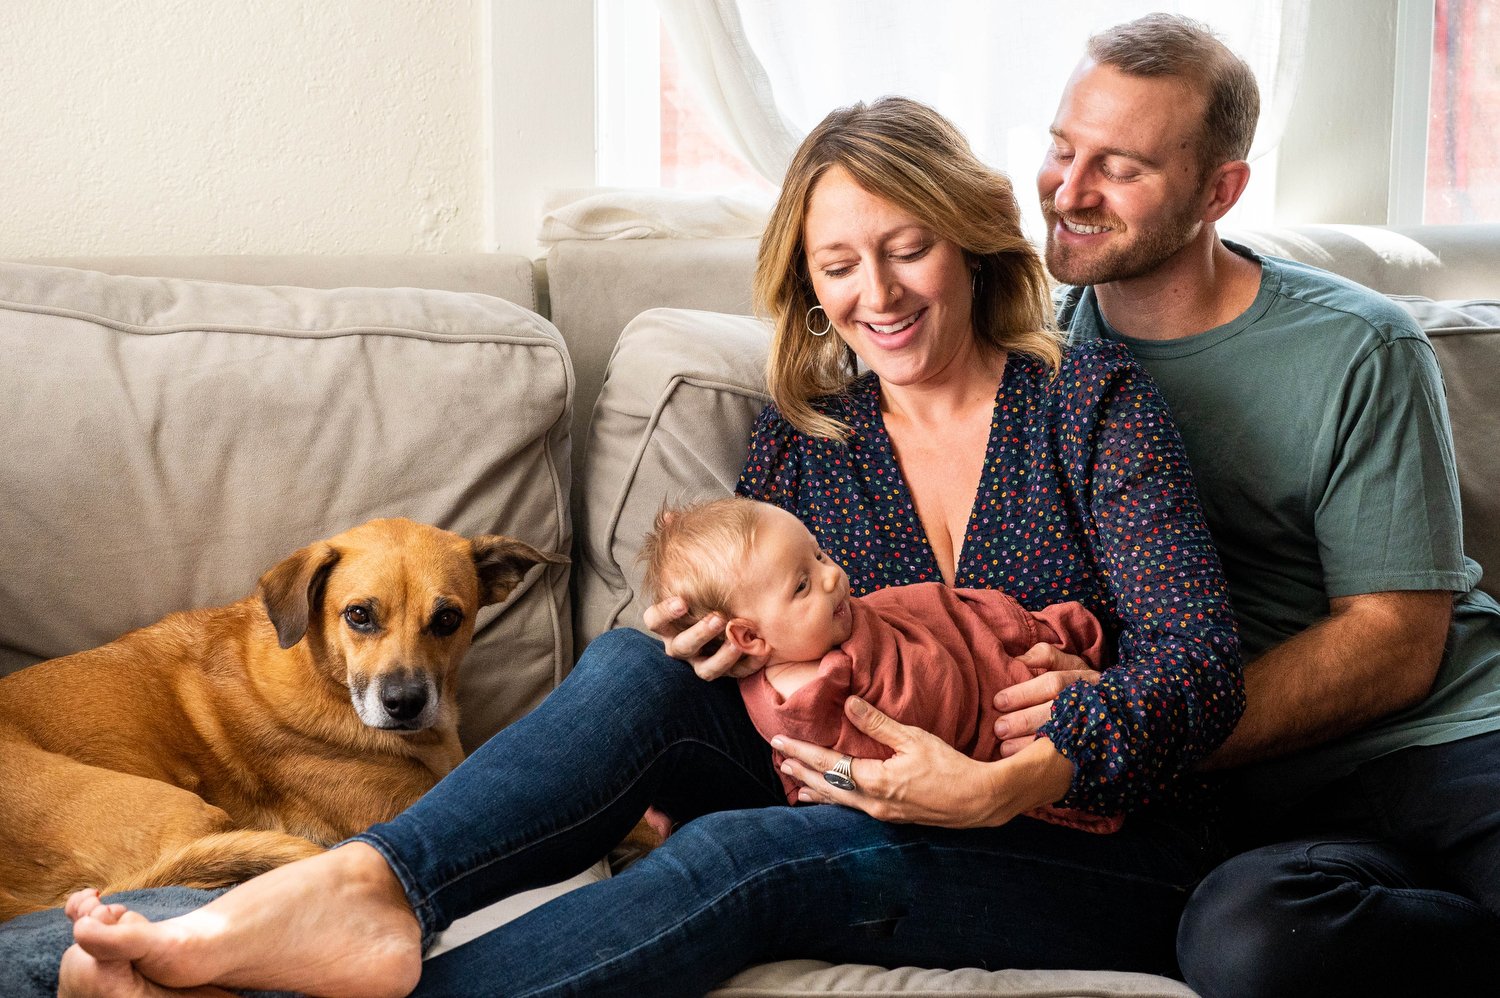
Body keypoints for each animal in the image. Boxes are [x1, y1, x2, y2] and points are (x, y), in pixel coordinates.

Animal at [0, 516, 564, 924]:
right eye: (358, 615)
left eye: (448, 619)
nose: (404, 702)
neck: (324, 678)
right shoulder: (408, 805)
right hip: (188, 815)